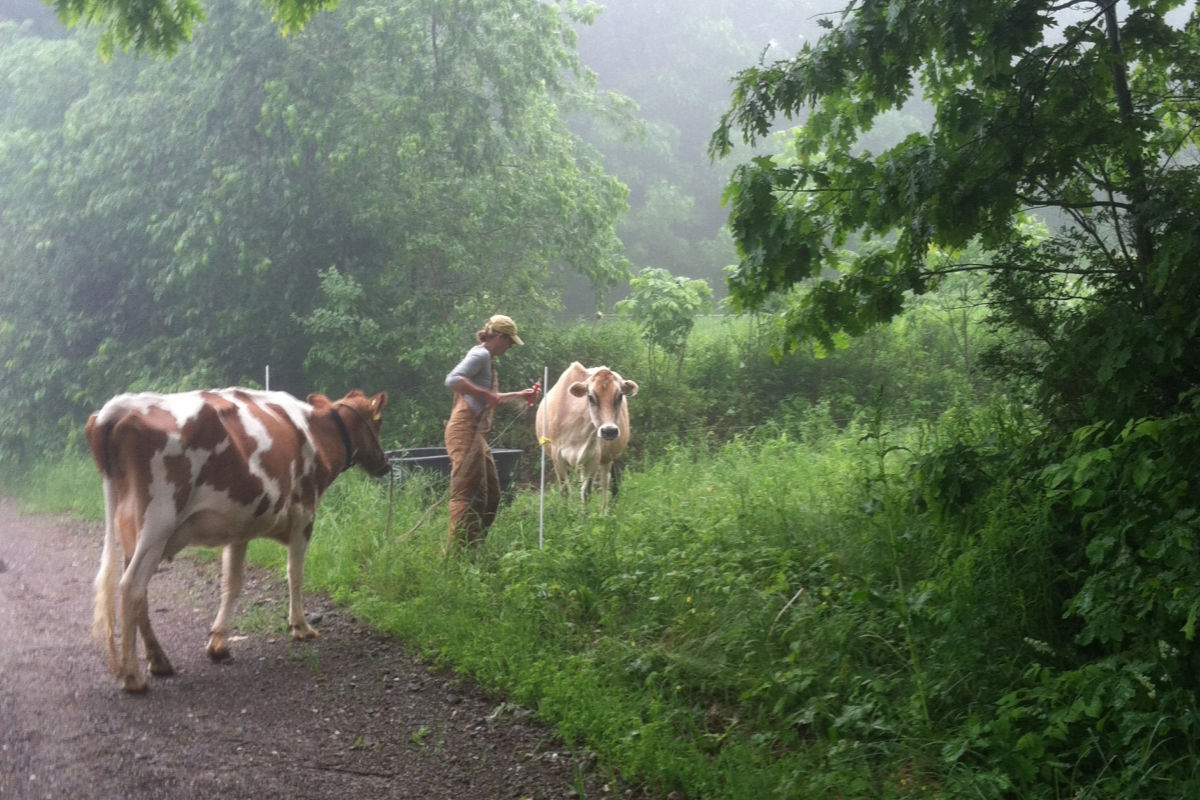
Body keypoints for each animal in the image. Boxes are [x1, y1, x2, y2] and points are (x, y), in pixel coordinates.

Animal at [87, 388, 391, 695]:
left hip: (133, 528)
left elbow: (232, 583)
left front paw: (219, 642)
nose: (386, 464)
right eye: (377, 422)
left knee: (140, 591)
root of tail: (122, 406)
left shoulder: (239, 528)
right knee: (131, 586)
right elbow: (295, 574)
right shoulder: (304, 515)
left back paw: (159, 661)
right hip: (158, 521)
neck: (315, 431)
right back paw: (133, 677)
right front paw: (301, 626)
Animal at [535, 362, 638, 513]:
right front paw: (566, 515)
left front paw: (585, 517)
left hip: (607, 457)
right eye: (590, 397)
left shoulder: (594, 456)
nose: (609, 431)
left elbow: (587, 492)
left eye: (619, 396)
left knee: (605, 482)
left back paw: (603, 512)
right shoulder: (557, 456)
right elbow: (565, 490)